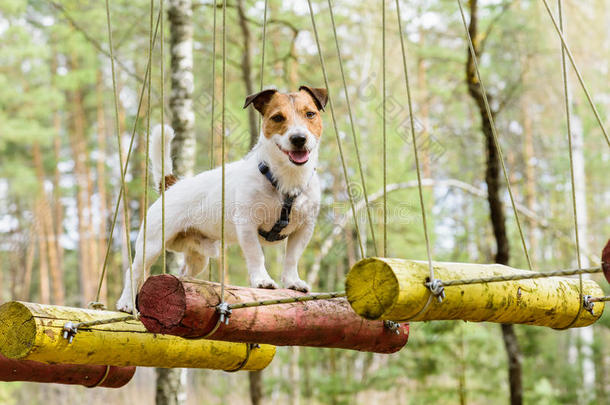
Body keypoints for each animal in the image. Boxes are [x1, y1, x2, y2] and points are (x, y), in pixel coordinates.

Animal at [113, 85, 324, 312]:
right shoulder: (247, 225)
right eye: (277, 117)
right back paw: (126, 303)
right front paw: (262, 280)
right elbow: (256, 255)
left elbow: (292, 258)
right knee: (134, 272)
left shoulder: (304, 229)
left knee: (182, 271)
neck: (285, 179)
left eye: (310, 114)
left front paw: (293, 282)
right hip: (151, 244)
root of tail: (172, 185)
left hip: (198, 256)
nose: (299, 138)